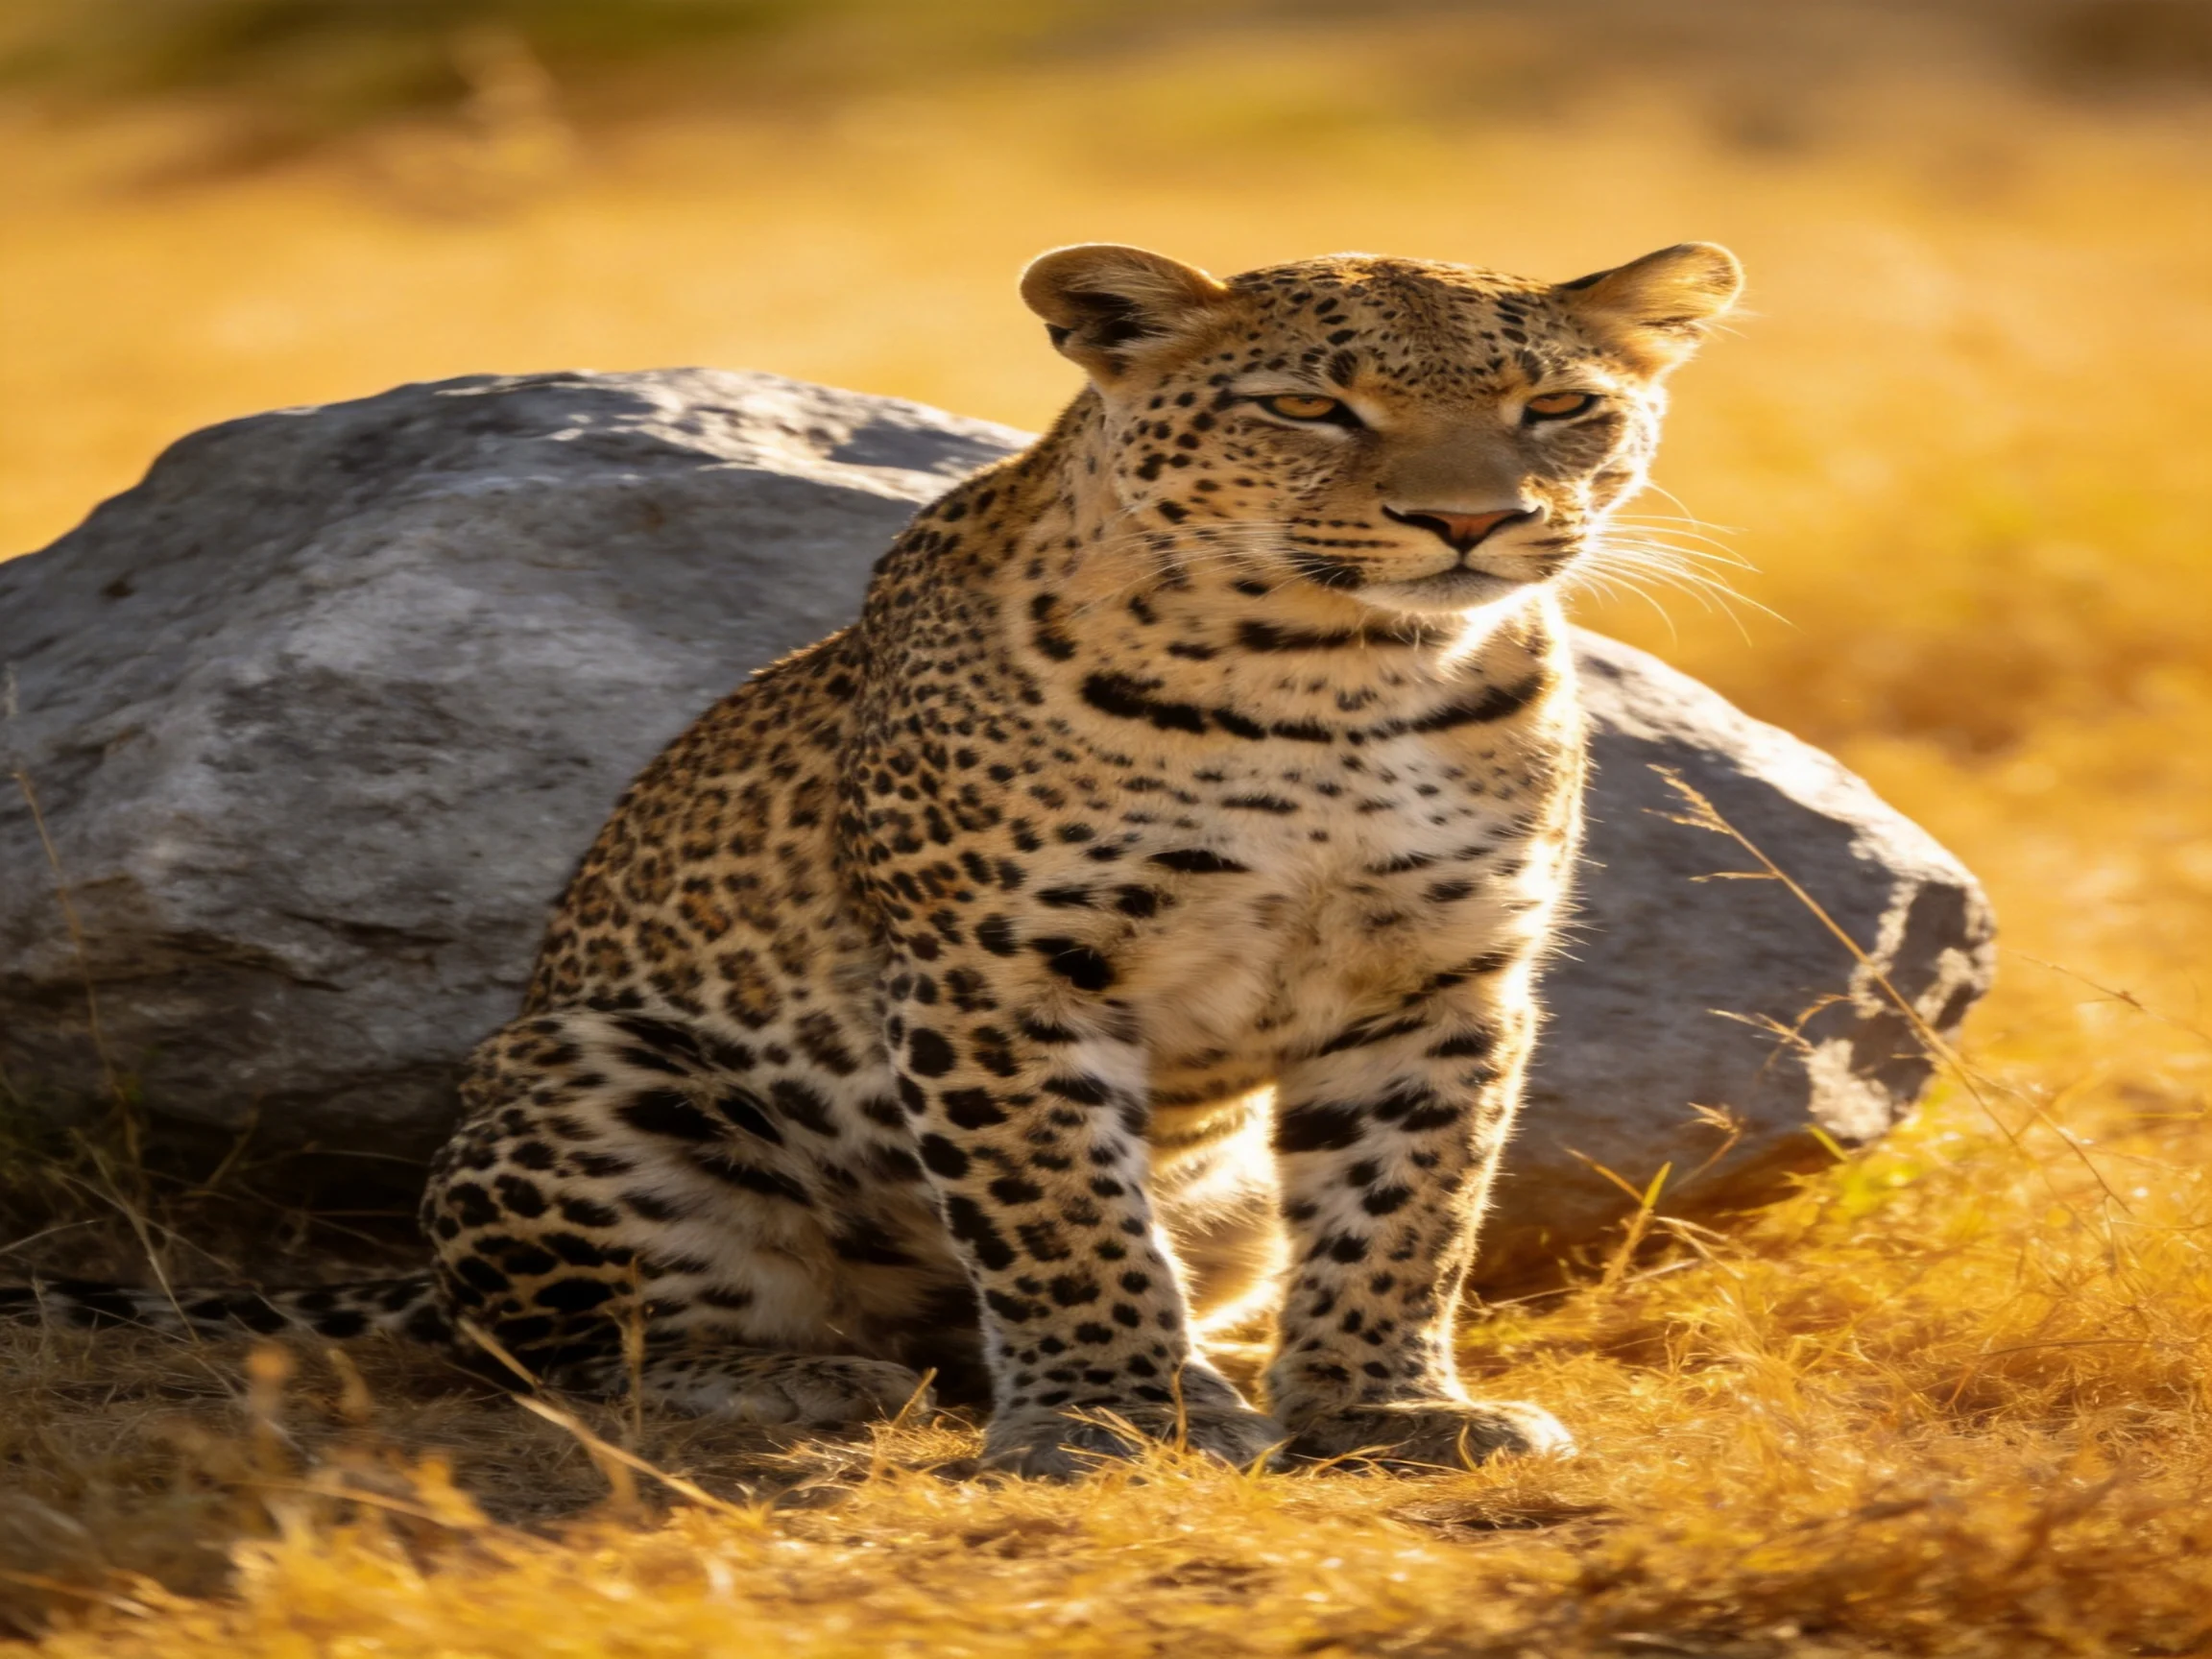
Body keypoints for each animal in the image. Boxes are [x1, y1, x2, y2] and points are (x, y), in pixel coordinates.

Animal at [5, 240, 1741, 1477]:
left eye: (1559, 408)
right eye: (1308, 408)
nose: (1469, 522)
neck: (1344, 679)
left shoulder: (1441, 976)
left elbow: (1405, 1210)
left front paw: (1384, 1407)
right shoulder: (1002, 970)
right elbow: (1057, 1215)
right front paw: (1112, 1415)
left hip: (1228, 1188)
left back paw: (1210, 1364)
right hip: (591, 1072)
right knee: (538, 1341)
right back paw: (797, 1371)